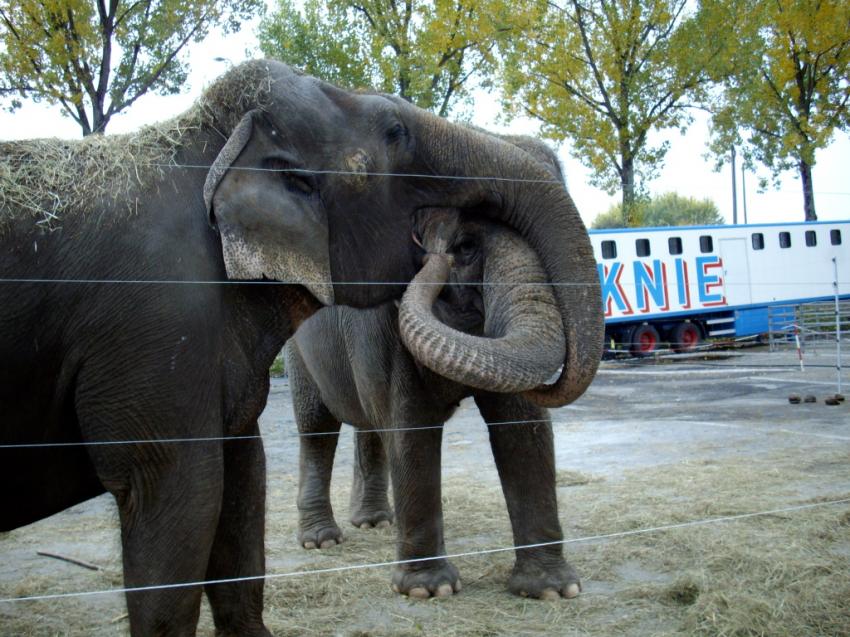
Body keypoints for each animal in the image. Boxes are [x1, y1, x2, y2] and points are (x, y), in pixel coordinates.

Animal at [284, 206, 576, 600]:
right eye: (465, 246)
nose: (436, 256)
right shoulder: (378, 323)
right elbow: (410, 424)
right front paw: (430, 589)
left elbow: (521, 424)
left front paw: (552, 590)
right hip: (298, 354)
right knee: (317, 427)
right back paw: (321, 541)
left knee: (369, 426)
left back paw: (374, 522)